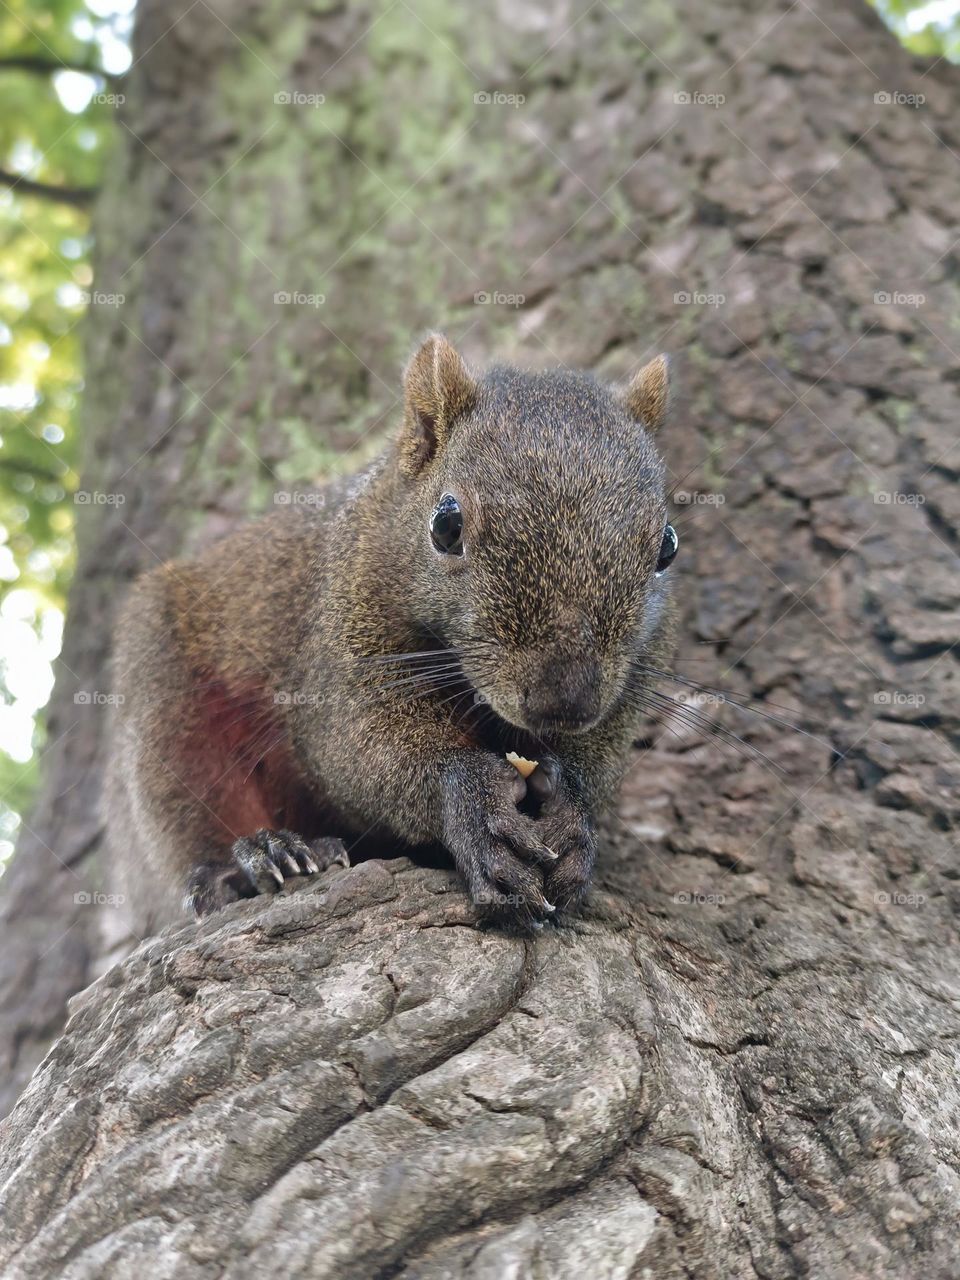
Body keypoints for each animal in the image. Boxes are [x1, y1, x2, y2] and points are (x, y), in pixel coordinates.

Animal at [105, 335, 677, 931]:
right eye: (446, 525)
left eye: (668, 547)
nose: (565, 702)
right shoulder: (340, 637)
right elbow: (356, 746)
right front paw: (475, 807)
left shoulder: (634, 679)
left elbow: (598, 758)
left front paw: (572, 818)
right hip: (165, 689)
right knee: (188, 803)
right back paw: (253, 858)